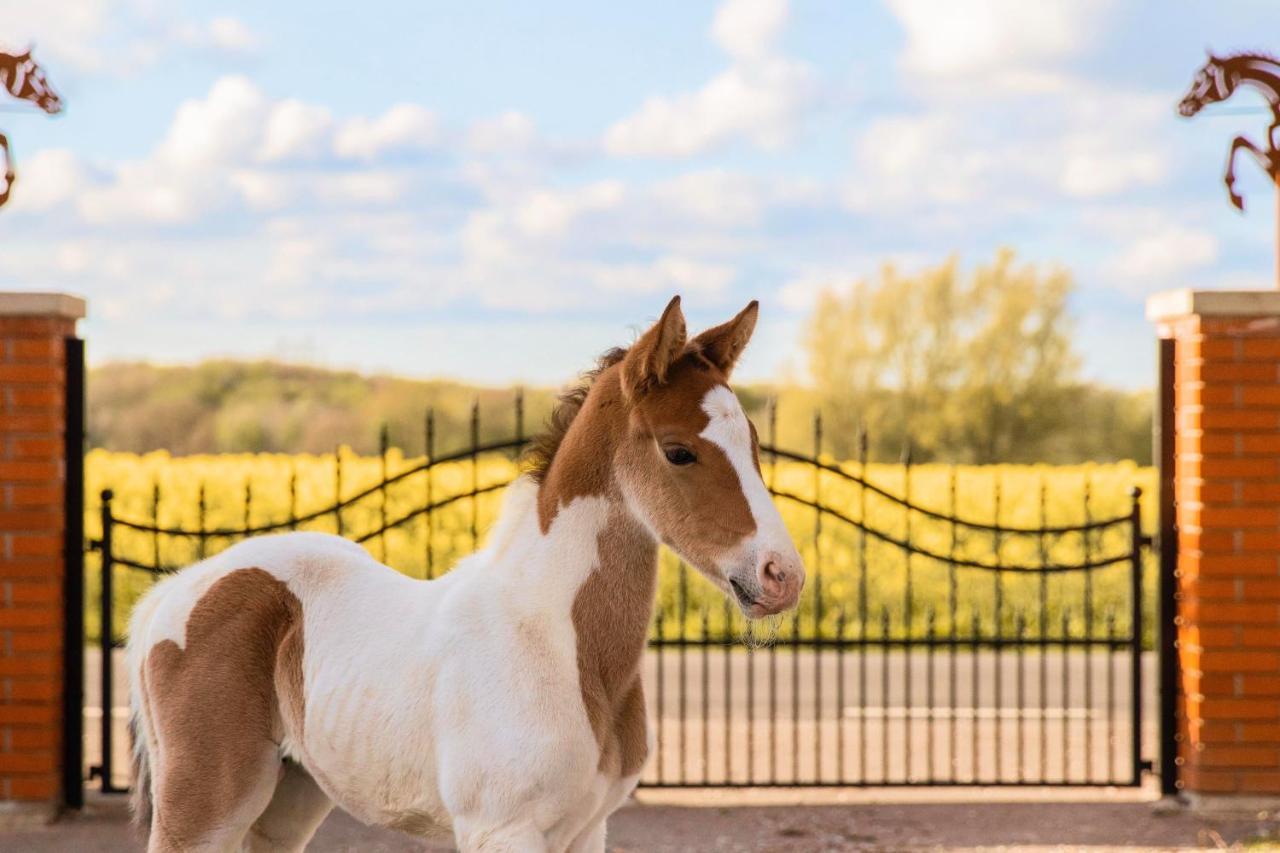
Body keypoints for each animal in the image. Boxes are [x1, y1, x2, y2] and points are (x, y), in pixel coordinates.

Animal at [124, 294, 803, 850]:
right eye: (678, 451)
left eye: (754, 445)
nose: (783, 576)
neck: (555, 639)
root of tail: (180, 588)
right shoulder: (502, 830)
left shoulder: (589, 830)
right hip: (204, 805)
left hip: (290, 799)